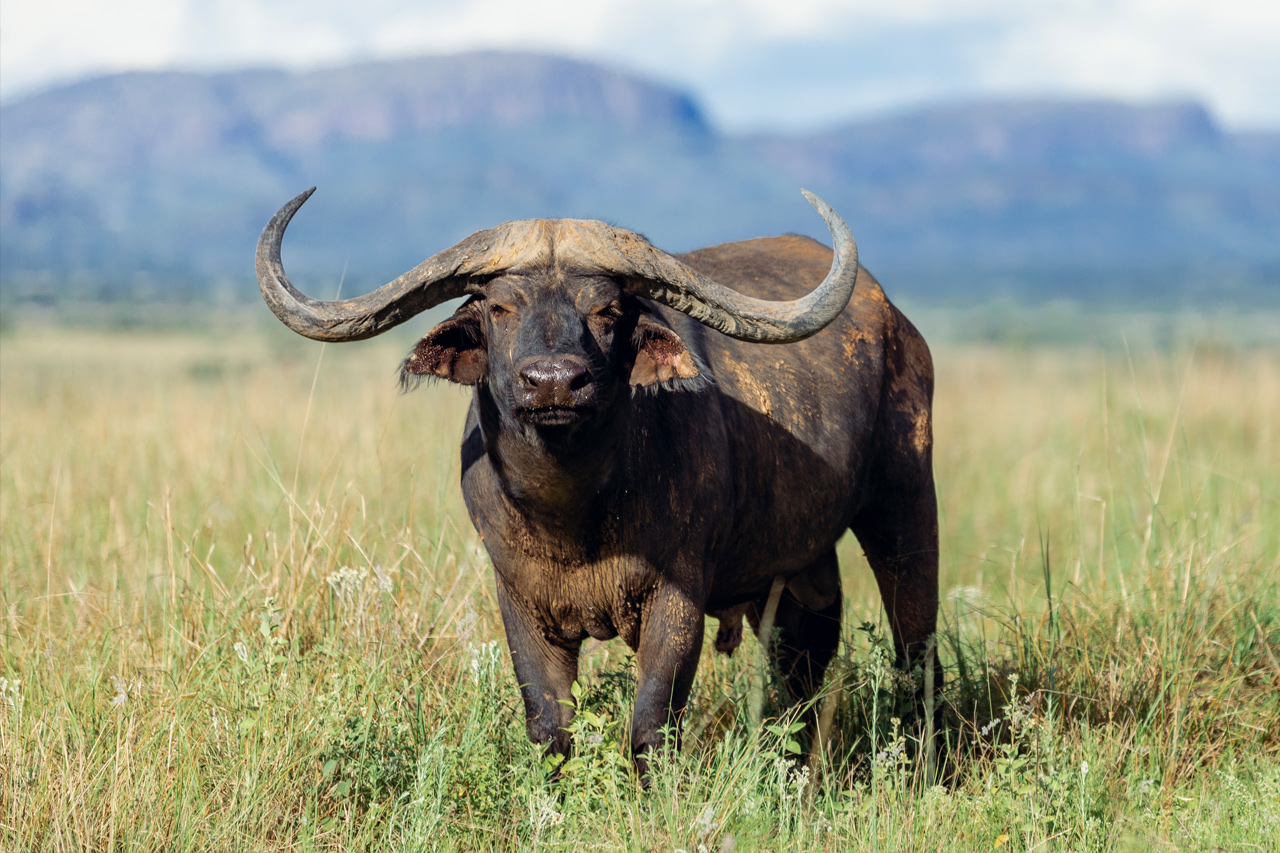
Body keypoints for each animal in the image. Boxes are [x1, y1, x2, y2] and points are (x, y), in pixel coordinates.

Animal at [257, 188, 939, 776]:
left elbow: (652, 721)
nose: (554, 381)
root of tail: (895, 322)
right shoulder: (518, 598)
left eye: (606, 310)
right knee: (804, 660)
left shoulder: (678, 596)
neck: (575, 517)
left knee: (915, 645)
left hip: (906, 505)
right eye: (500, 307)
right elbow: (549, 725)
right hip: (802, 565)